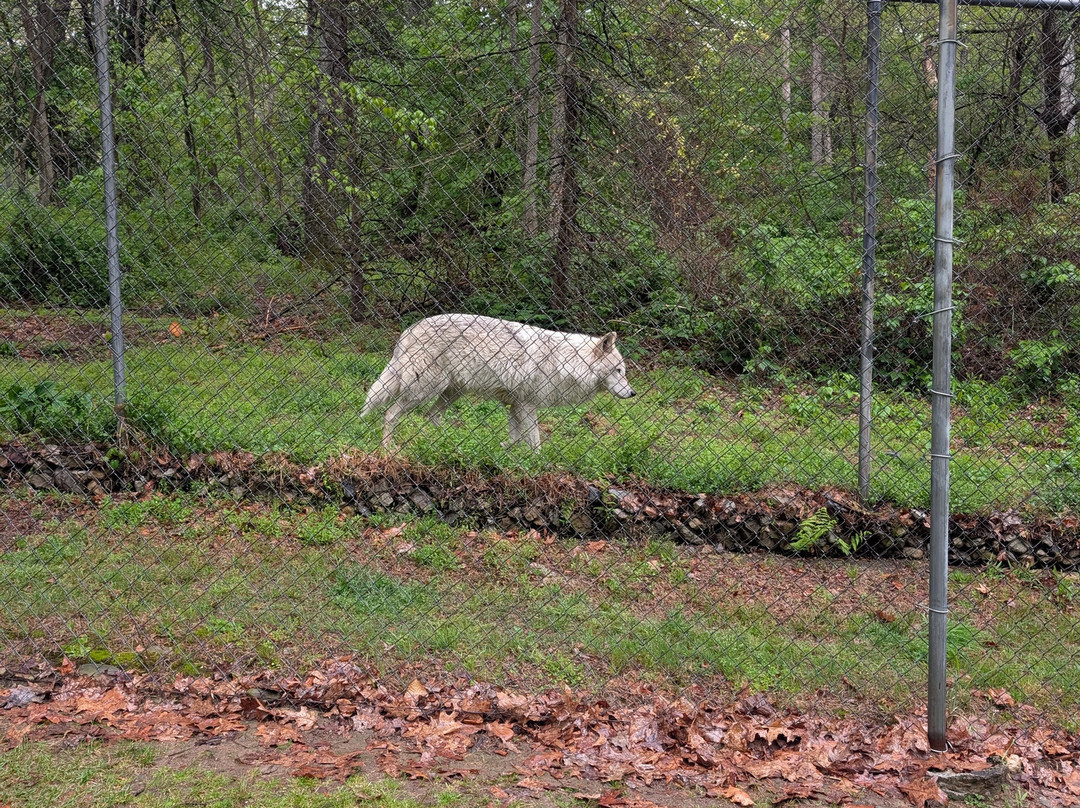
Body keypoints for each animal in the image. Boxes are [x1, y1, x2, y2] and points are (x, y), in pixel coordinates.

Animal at [361, 314, 636, 450]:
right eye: (618, 371)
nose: (632, 393)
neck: (565, 361)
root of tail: (409, 329)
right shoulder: (526, 405)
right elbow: (534, 440)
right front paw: (537, 463)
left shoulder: (516, 405)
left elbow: (516, 438)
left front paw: (505, 449)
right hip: (425, 390)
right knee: (390, 414)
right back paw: (388, 448)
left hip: (451, 392)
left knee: (432, 416)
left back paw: (449, 443)